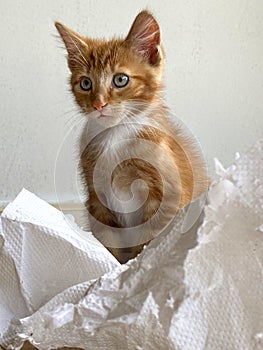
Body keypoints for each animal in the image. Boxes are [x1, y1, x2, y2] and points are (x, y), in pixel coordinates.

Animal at [55, 10, 210, 262]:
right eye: (85, 83)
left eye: (120, 79)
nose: (98, 104)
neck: (116, 136)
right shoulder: (97, 200)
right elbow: (109, 242)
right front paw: (112, 267)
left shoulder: (167, 196)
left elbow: (149, 241)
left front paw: (137, 267)